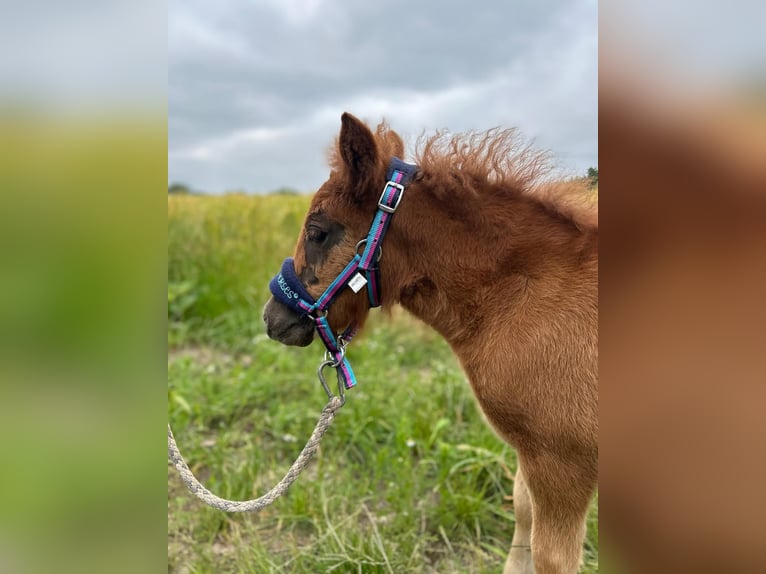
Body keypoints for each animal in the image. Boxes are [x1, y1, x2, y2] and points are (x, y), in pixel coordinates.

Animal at [264, 113, 600, 574]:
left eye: (318, 232)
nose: (272, 318)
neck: (525, 295)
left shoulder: (562, 462)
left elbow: (551, 557)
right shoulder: (533, 453)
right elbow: (522, 515)